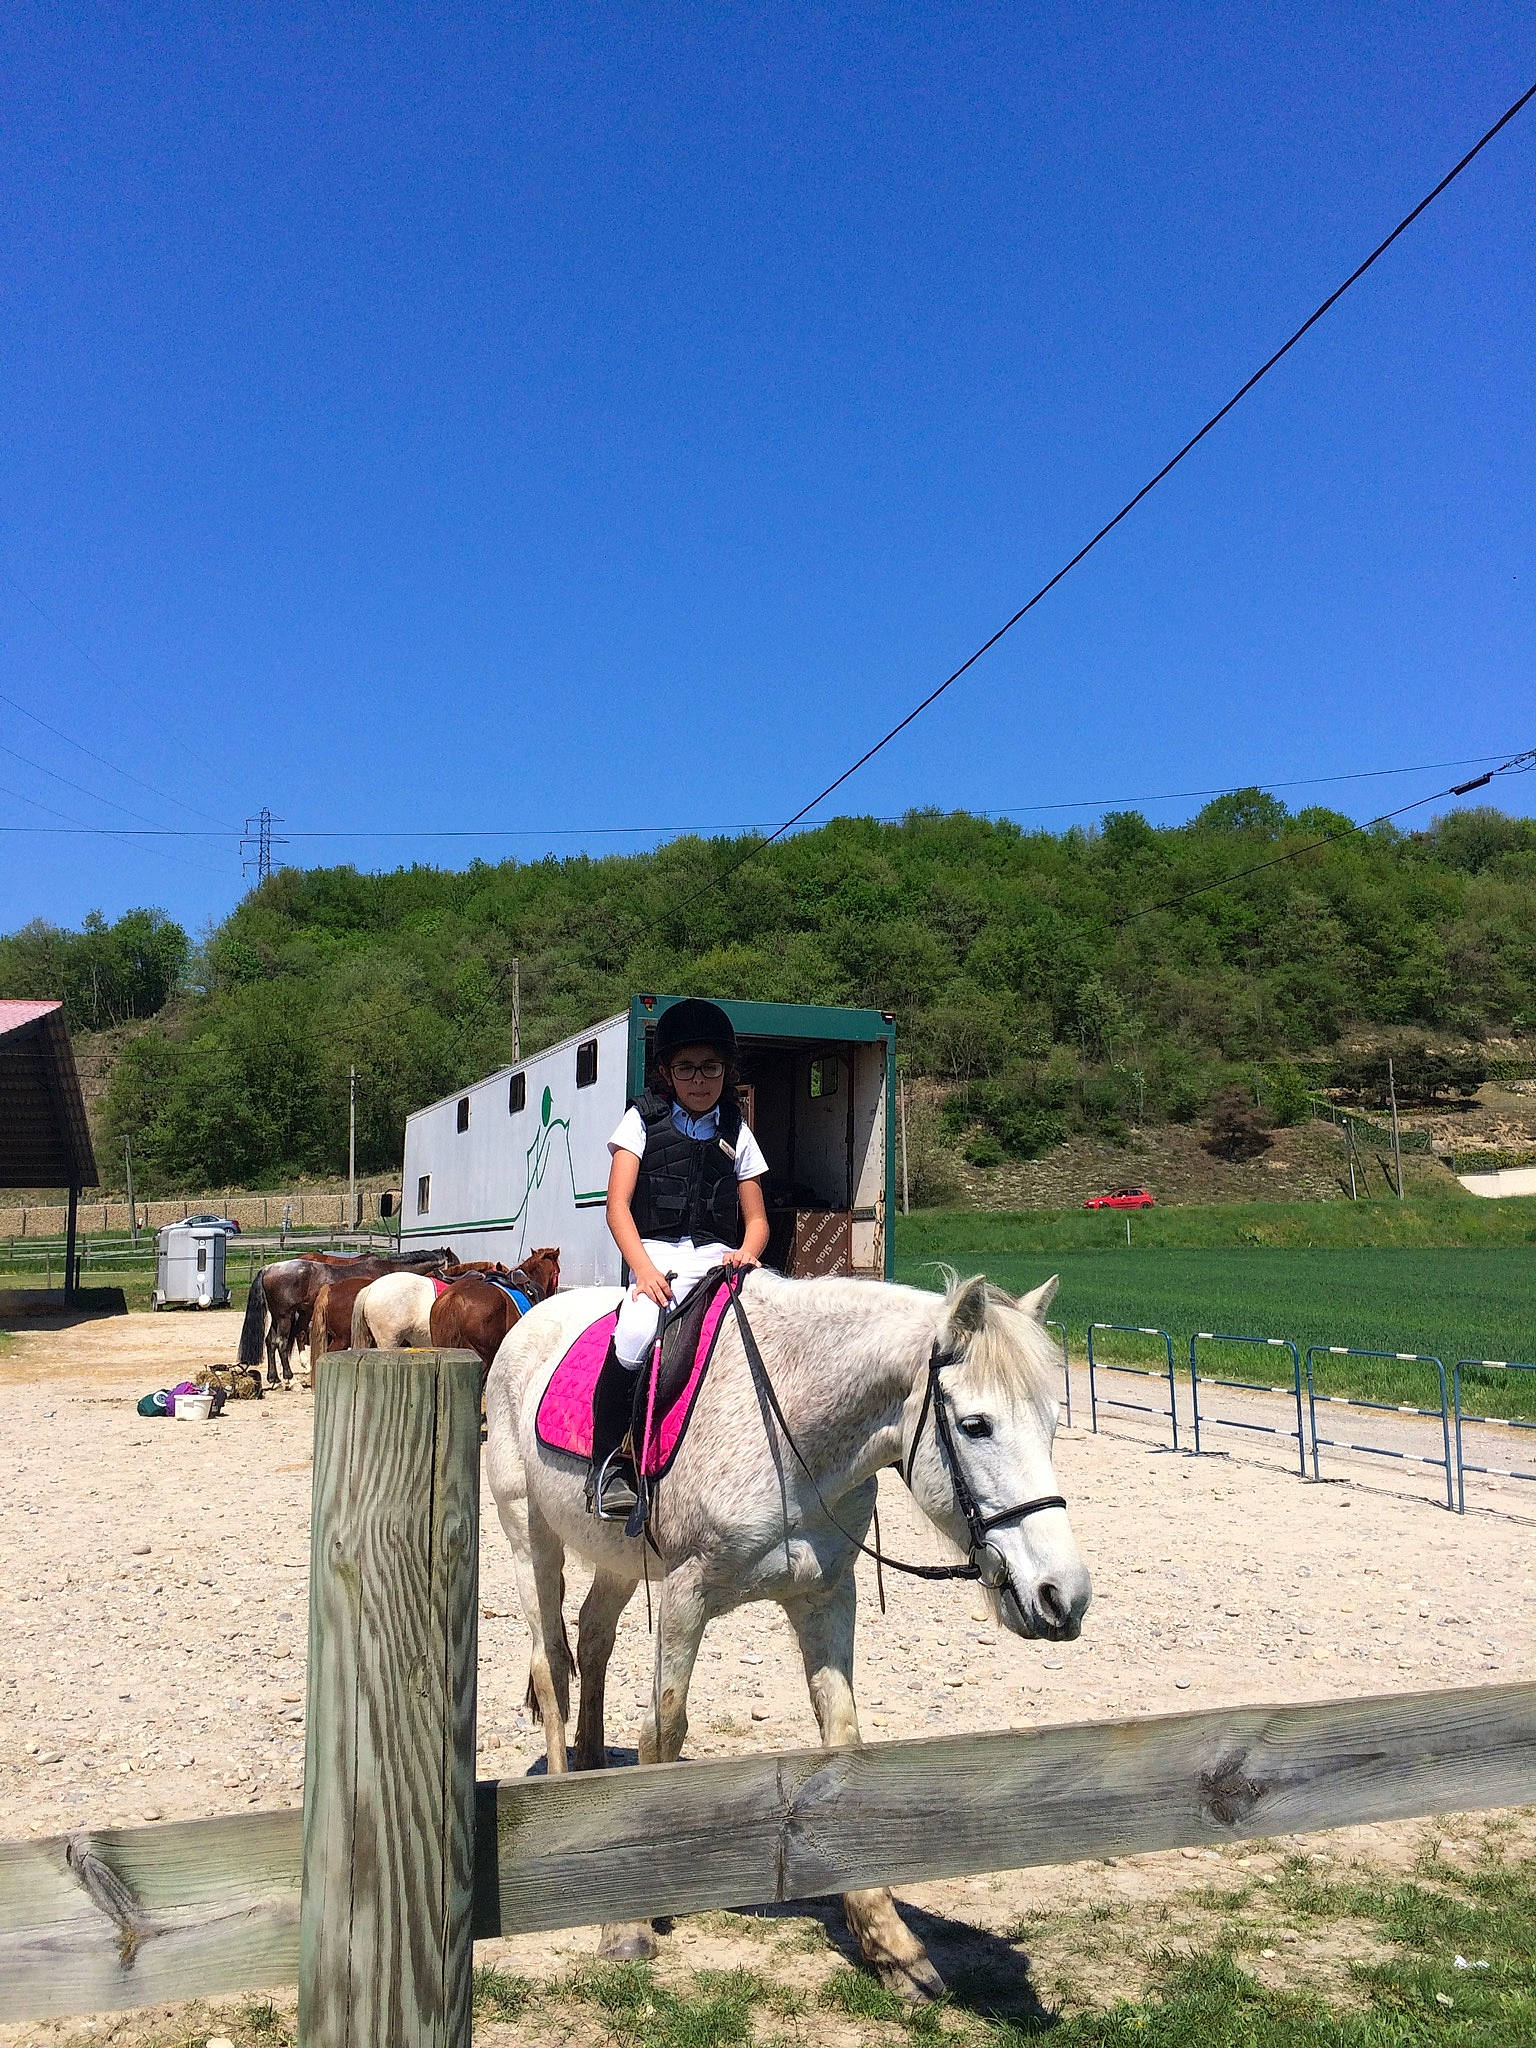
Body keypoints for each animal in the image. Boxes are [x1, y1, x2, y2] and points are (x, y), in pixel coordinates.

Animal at [237, 1249, 456, 1386]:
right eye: (454, 1262)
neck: (389, 1271)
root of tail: (269, 1268)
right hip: (285, 1316)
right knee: (281, 1343)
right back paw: (290, 1378)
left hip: (279, 1316)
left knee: (270, 1341)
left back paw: (274, 1378)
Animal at [485, 1267, 1090, 2000]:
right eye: (977, 1426)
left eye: (1053, 1423)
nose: (1062, 1597)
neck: (792, 1428)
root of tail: (531, 1317)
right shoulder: (686, 1594)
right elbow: (664, 1728)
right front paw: (628, 1920)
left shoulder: (825, 1597)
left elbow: (843, 1743)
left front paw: (888, 1940)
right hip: (529, 1537)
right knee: (551, 1666)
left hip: (620, 1561)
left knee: (594, 1637)